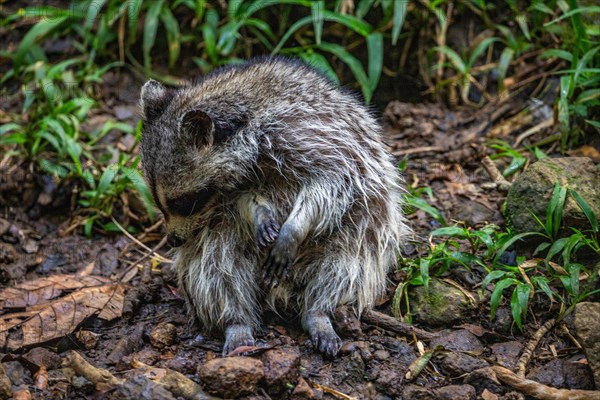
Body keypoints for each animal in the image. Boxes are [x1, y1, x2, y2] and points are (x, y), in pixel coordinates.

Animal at [139, 56, 410, 356]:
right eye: (158, 202)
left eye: (184, 202)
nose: (174, 240)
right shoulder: (235, 186)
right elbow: (243, 203)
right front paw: (260, 213)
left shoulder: (314, 133)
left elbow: (334, 181)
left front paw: (294, 228)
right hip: (218, 243)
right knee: (215, 267)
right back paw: (236, 321)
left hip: (364, 229)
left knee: (347, 265)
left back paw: (319, 311)